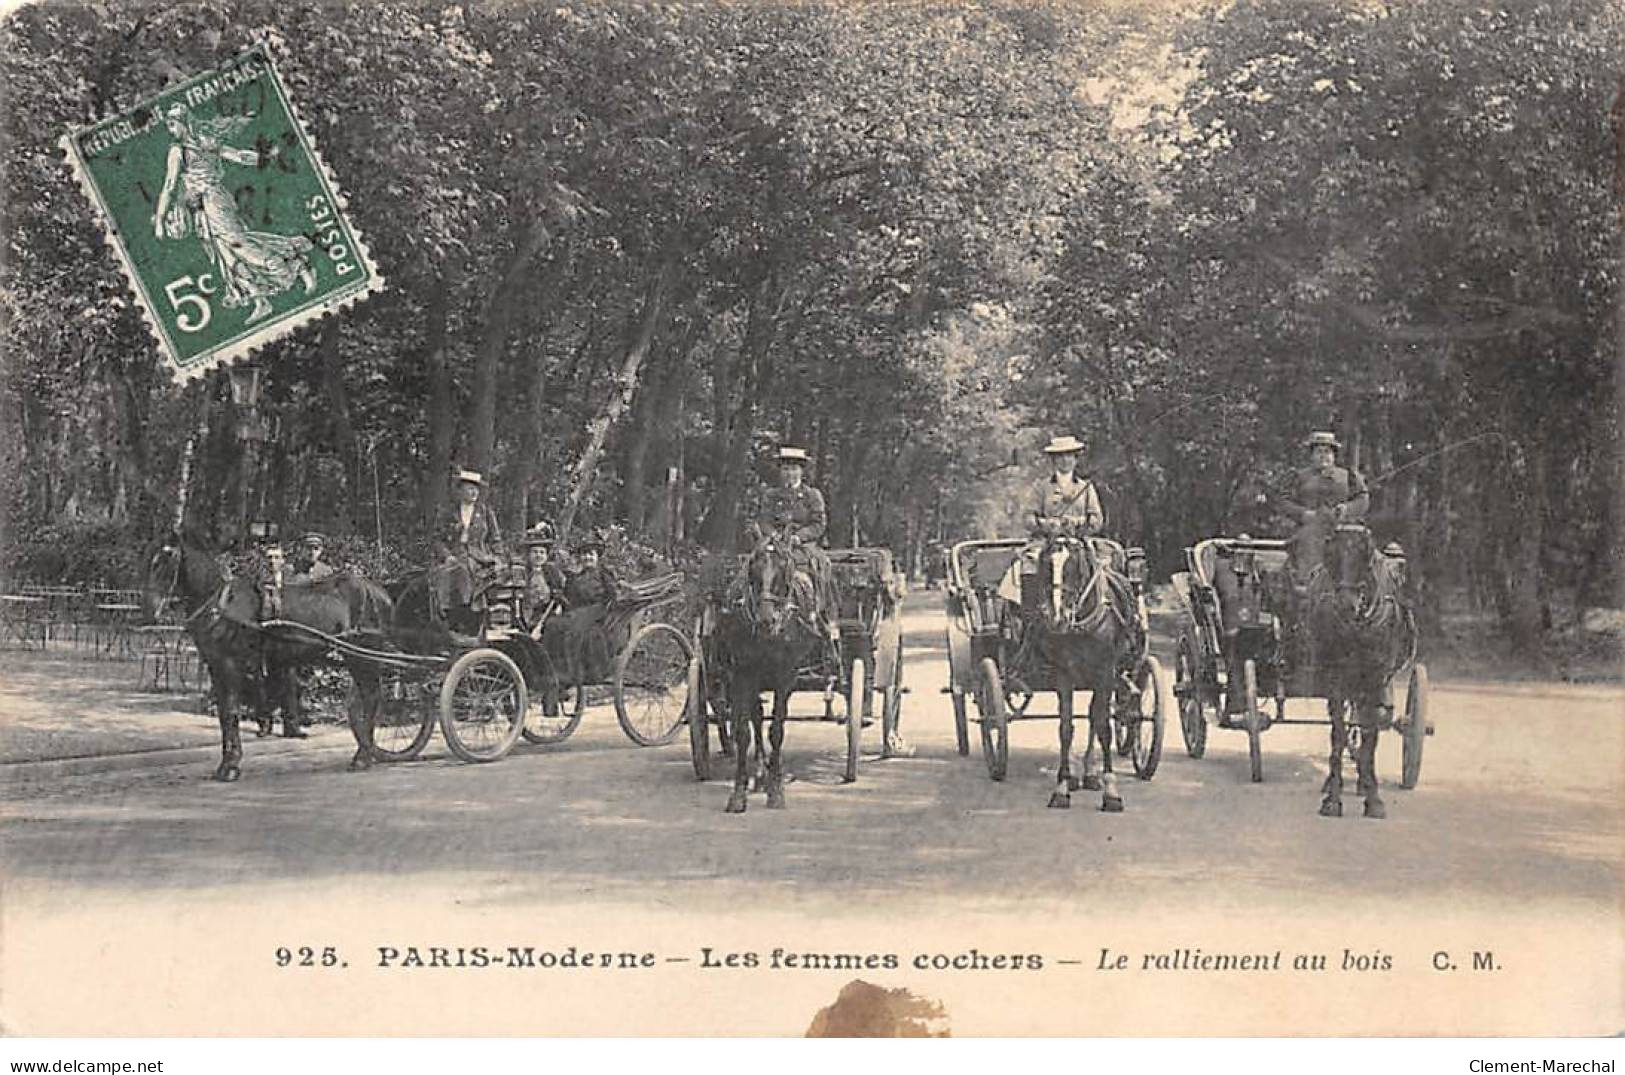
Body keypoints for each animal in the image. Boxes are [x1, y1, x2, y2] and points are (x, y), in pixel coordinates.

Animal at [140, 532, 393, 779]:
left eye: (166, 559)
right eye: (148, 558)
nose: (150, 612)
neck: (222, 605)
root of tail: (380, 592)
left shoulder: (231, 665)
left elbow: (231, 712)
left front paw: (231, 766)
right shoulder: (216, 666)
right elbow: (223, 714)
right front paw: (225, 764)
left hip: (362, 655)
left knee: (371, 697)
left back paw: (363, 756)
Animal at [715, 539, 838, 818]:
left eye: (783, 572)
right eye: (753, 570)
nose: (766, 620)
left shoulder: (785, 676)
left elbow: (777, 730)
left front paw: (776, 790)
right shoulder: (743, 674)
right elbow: (744, 732)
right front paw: (738, 794)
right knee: (757, 717)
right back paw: (760, 772)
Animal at [1027, 535, 1144, 811]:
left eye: (1075, 566)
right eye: (1047, 565)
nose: (1057, 618)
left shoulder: (1105, 673)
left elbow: (1103, 727)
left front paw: (1111, 791)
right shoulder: (1064, 675)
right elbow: (1065, 728)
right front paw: (1062, 786)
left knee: (1096, 716)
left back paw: (1091, 773)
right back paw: (1078, 776)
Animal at [1300, 526, 1417, 821]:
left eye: (1365, 558)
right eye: (1332, 555)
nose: (1345, 604)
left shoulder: (1375, 679)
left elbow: (1370, 735)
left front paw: (1373, 798)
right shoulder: (1334, 679)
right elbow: (1339, 734)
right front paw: (1333, 798)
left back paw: (1363, 781)